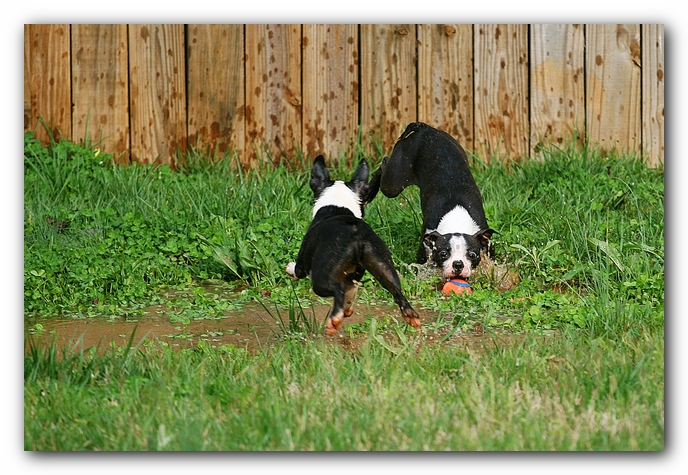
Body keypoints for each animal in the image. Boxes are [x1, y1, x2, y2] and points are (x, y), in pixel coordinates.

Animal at [284, 155, 420, 334]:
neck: (338, 207)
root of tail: (355, 233)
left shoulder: (303, 262)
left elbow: (297, 270)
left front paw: (289, 267)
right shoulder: (353, 277)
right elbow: (351, 290)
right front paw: (347, 309)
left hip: (320, 277)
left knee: (338, 287)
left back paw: (334, 319)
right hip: (383, 266)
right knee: (398, 293)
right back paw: (411, 316)